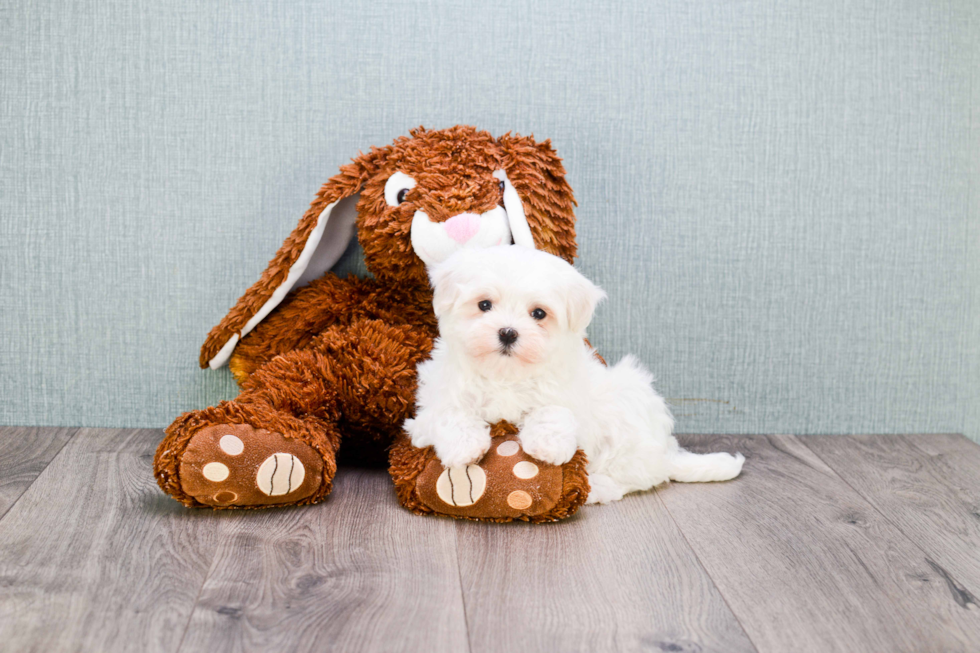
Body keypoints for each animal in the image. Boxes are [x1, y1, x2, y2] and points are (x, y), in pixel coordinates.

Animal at [402, 244, 740, 504]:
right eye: (484, 305)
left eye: (539, 313)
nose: (508, 332)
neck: (506, 375)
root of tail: (665, 454)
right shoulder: (427, 411)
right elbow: (449, 413)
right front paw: (465, 447)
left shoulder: (569, 395)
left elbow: (555, 410)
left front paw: (547, 444)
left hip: (626, 407)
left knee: (631, 477)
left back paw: (596, 488)